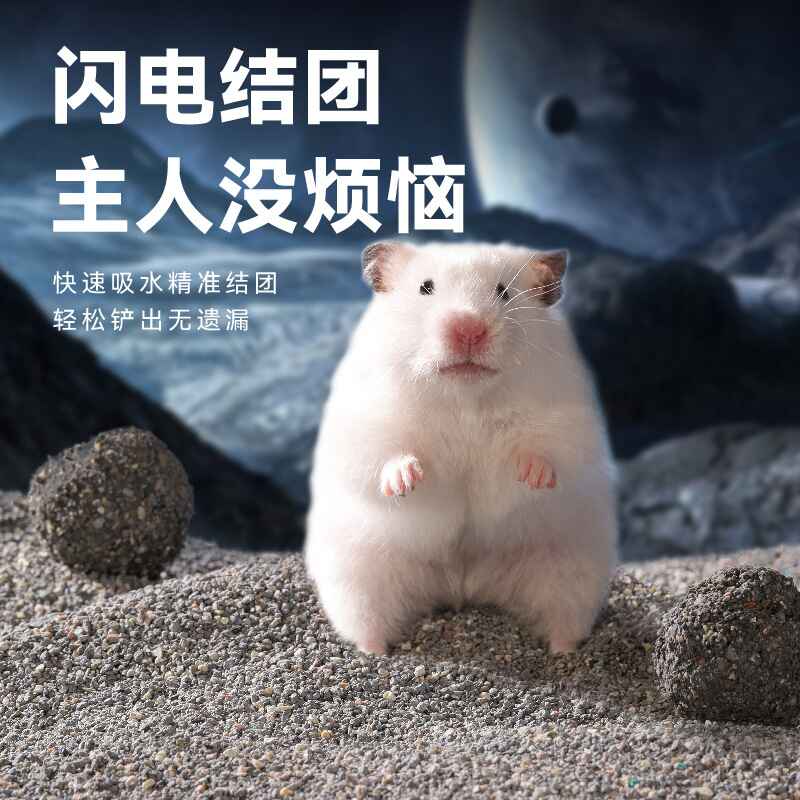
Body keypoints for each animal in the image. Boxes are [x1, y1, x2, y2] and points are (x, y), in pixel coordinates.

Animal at [305, 241, 618, 655]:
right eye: (425, 287)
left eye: (504, 291)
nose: (468, 328)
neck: (464, 397)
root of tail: (464, 586)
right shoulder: (367, 419)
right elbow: (385, 455)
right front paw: (408, 479)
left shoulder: (569, 418)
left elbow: (547, 451)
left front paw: (534, 476)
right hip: (361, 572)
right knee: (367, 619)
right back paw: (376, 652)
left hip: (571, 568)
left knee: (563, 616)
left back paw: (562, 651)